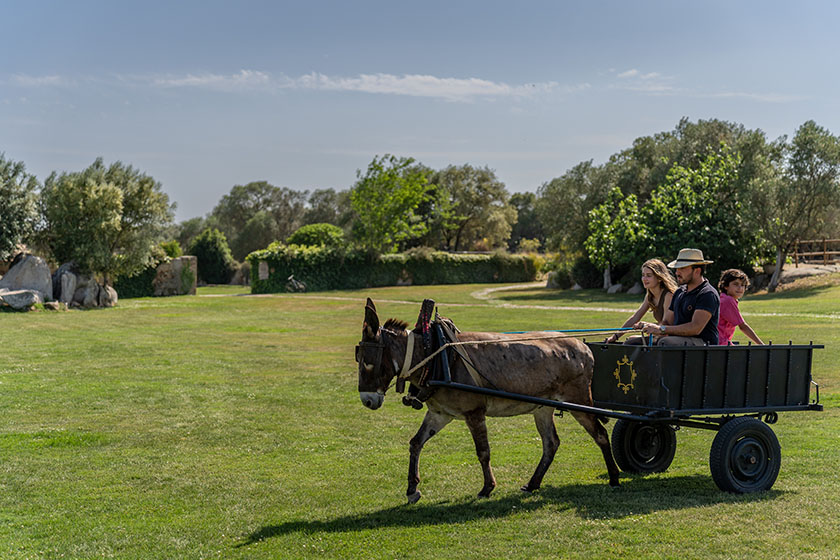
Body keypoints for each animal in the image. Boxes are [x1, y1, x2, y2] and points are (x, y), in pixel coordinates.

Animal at [355, 298, 620, 503]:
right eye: (358, 359)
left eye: (368, 361)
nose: (367, 401)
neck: (435, 355)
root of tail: (583, 346)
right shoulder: (440, 414)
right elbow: (415, 443)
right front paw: (412, 489)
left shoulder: (474, 413)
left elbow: (483, 451)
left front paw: (487, 488)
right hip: (543, 407)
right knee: (551, 443)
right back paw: (533, 484)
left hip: (578, 402)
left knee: (600, 434)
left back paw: (615, 477)